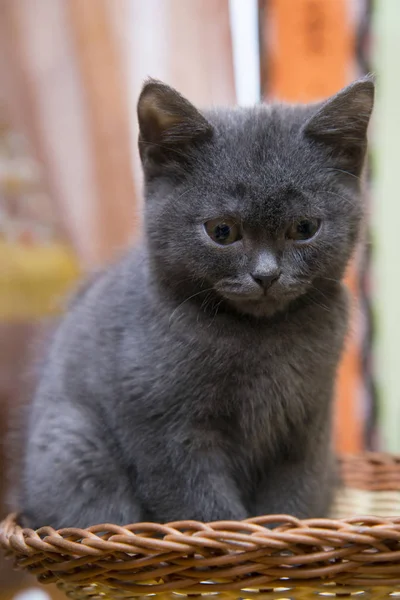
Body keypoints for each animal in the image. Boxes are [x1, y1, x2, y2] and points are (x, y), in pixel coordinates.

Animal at [20, 77, 374, 528]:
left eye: (304, 228)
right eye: (222, 231)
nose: (266, 275)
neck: (259, 339)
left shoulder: (307, 428)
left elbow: (292, 498)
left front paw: (279, 535)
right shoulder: (164, 430)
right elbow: (201, 507)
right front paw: (234, 539)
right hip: (74, 449)